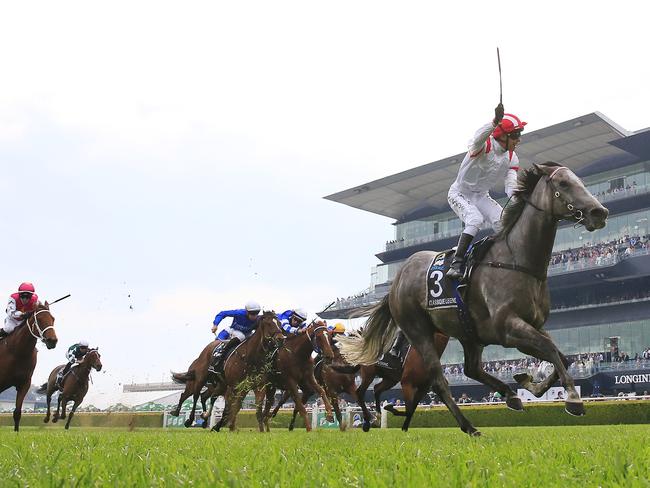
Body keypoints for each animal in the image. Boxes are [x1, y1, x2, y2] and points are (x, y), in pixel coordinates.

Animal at [0, 302, 58, 430]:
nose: (52, 340)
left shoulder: (24, 383)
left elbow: (17, 413)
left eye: (53, 318)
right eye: (39, 319)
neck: (17, 352)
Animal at [340, 162, 608, 436]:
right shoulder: (508, 328)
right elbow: (550, 349)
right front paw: (572, 399)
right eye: (563, 183)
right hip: (419, 331)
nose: (599, 212)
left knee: (471, 368)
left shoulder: (532, 325)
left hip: (468, 332)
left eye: (581, 181)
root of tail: (397, 279)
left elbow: (561, 356)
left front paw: (530, 384)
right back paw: (468, 425)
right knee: (438, 380)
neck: (517, 261)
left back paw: (510, 395)